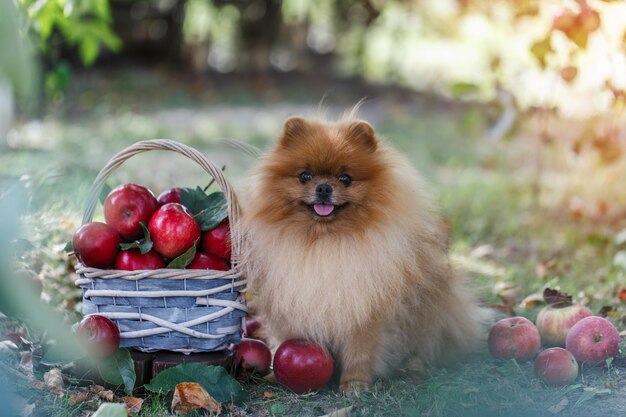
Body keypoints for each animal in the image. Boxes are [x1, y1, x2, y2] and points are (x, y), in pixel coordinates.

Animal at [241, 114, 486, 394]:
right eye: (305, 176)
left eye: (345, 178)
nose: (323, 188)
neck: (325, 243)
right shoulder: (294, 304)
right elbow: (289, 340)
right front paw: (276, 375)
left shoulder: (366, 312)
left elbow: (360, 352)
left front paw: (354, 384)